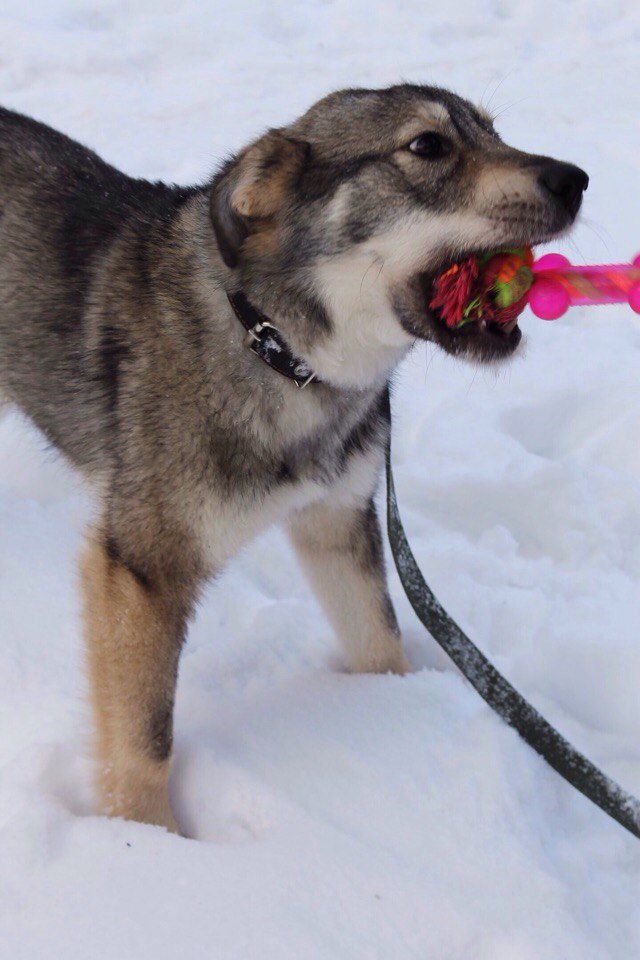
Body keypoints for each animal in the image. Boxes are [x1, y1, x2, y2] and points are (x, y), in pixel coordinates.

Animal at [0, 84, 588, 832]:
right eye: (427, 145)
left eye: (494, 132)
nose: (575, 179)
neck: (279, 350)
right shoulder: (144, 569)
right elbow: (143, 742)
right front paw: (147, 842)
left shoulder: (337, 519)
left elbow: (377, 640)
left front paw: (398, 709)